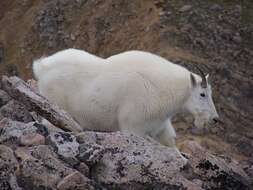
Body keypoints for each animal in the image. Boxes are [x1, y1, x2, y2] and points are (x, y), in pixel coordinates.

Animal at [33, 48, 219, 160]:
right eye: (202, 94)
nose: (215, 119)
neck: (161, 88)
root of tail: (42, 67)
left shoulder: (160, 127)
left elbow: (173, 148)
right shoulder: (133, 127)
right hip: (54, 107)